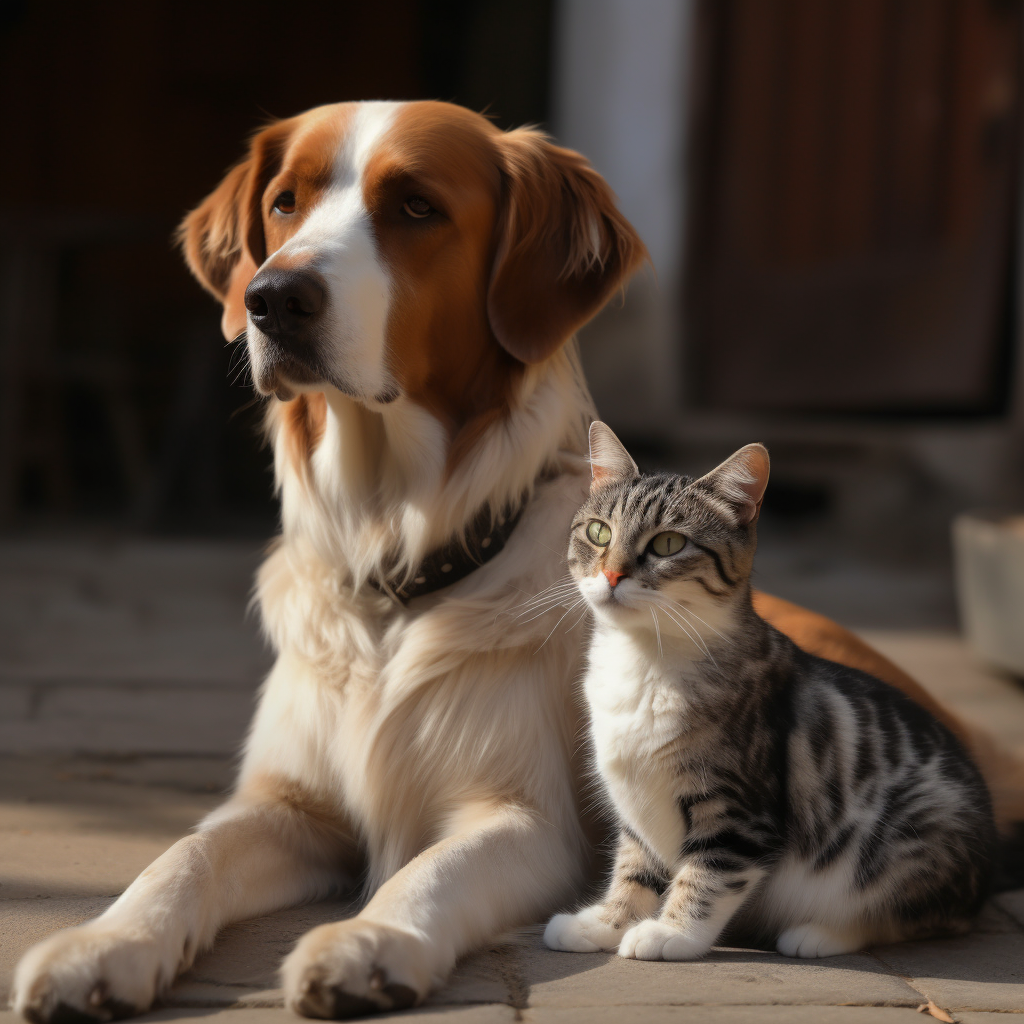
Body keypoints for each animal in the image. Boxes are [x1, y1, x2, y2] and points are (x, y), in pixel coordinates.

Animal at [544, 421, 991, 958]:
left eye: (669, 544)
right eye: (598, 532)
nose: (611, 574)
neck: (645, 659)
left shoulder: (739, 810)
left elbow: (708, 874)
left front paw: (672, 932)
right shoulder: (637, 805)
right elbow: (634, 867)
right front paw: (604, 923)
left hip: (921, 828)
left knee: (920, 915)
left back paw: (821, 933)